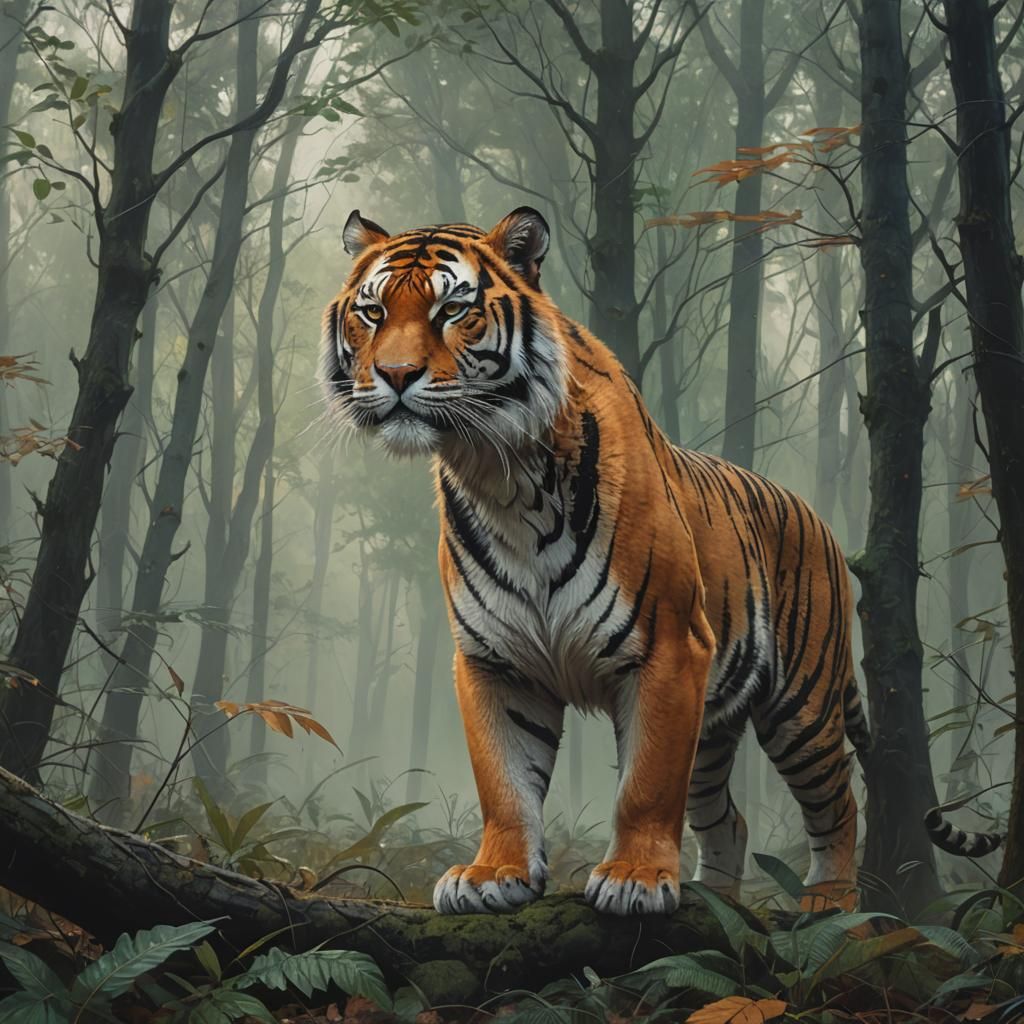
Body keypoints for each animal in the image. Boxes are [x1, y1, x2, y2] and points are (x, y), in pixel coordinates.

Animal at [321, 206, 873, 916]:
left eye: (453, 310)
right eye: (372, 312)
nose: (393, 375)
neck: (497, 475)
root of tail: (820, 519)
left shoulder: (670, 649)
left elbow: (645, 783)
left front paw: (634, 878)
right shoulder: (493, 660)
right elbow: (504, 782)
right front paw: (492, 875)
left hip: (800, 707)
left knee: (838, 805)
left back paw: (830, 905)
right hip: (714, 726)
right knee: (729, 819)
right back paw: (711, 899)